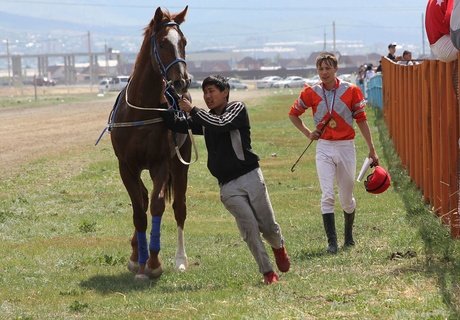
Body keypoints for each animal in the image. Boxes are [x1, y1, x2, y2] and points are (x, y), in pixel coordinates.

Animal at [109, 5, 190, 280]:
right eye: (163, 43)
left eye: (184, 42)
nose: (182, 81)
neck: (141, 110)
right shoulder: (126, 166)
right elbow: (138, 210)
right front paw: (140, 261)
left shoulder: (160, 164)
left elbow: (156, 206)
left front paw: (153, 262)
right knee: (142, 200)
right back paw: (136, 255)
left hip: (181, 164)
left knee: (179, 207)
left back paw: (180, 259)